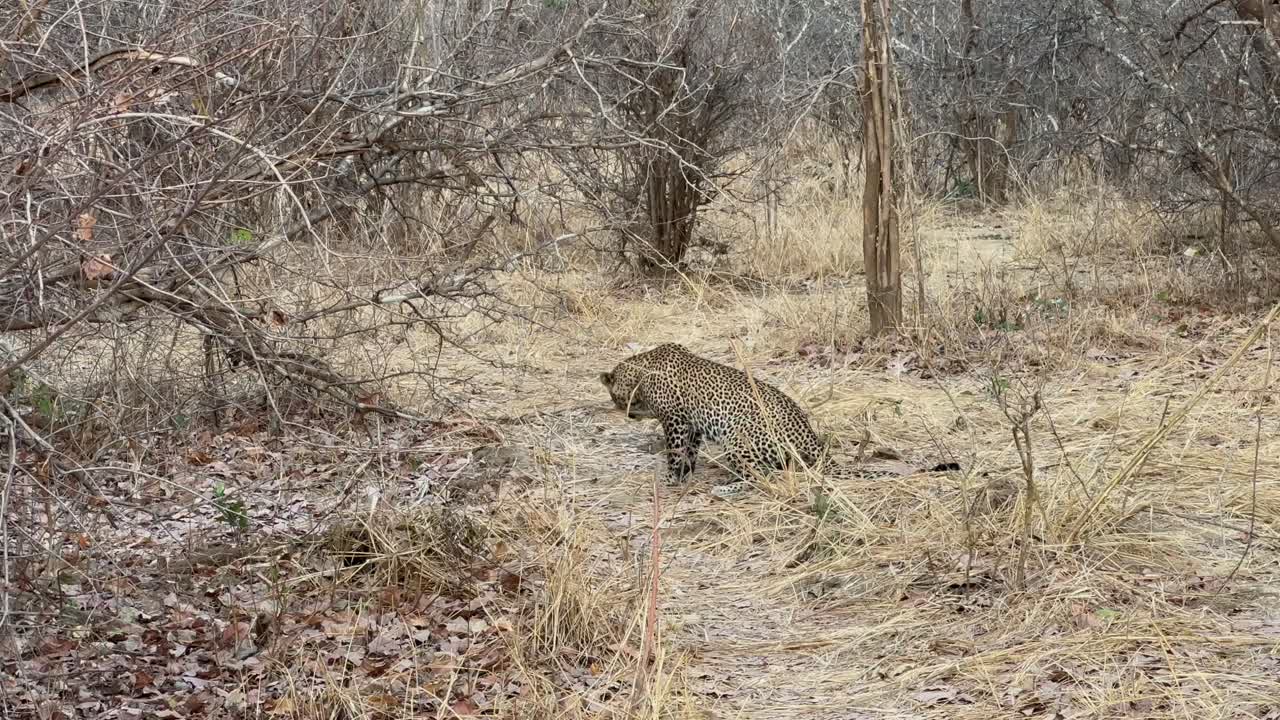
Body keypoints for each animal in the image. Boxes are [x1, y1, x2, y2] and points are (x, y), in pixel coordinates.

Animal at [599, 343, 825, 495]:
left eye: (614, 398)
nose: (628, 414)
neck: (640, 374)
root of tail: (810, 437)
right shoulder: (692, 425)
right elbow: (689, 452)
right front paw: (686, 474)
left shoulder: (674, 420)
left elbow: (674, 452)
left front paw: (669, 479)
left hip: (736, 436)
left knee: (760, 476)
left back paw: (724, 489)